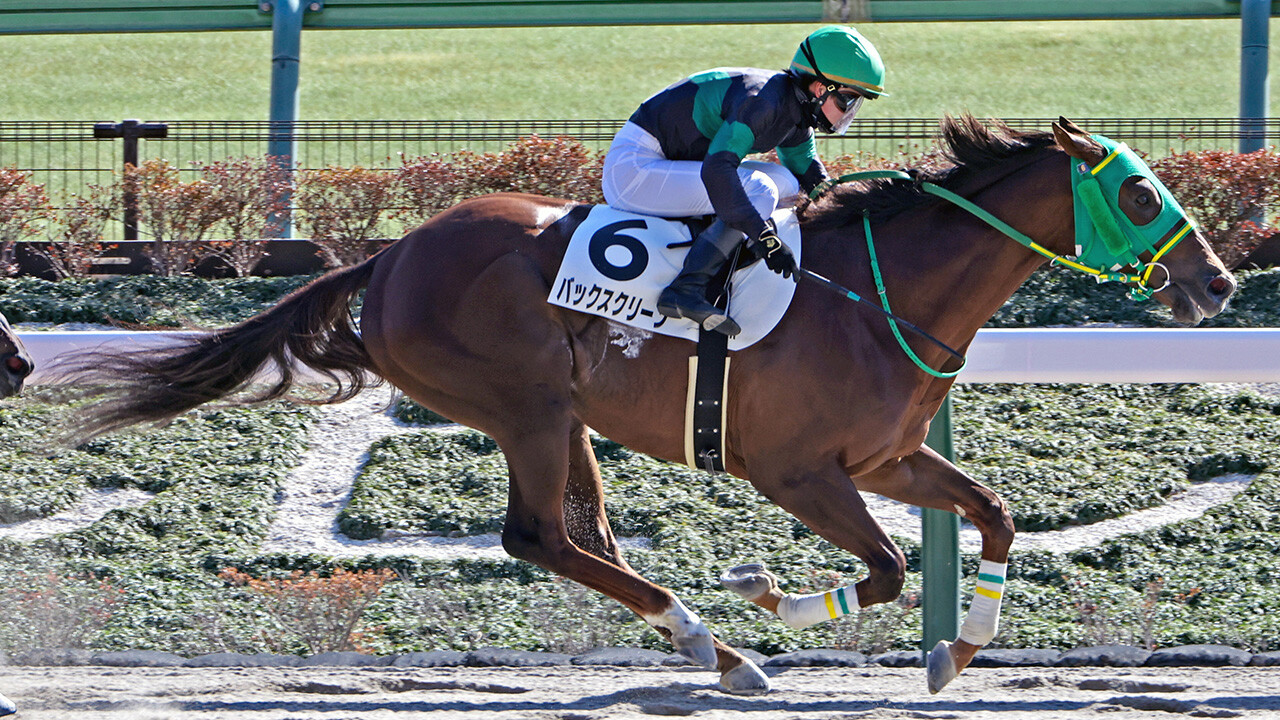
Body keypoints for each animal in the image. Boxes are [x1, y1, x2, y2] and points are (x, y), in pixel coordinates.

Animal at [55, 117, 1233, 691]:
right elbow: (891, 569)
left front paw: (961, 650)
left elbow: (992, 515)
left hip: (562, 419)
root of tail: (389, 255)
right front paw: (770, 599)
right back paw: (715, 640)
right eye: (1139, 195)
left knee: (582, 534)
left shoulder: (887, 457)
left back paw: (702, 644)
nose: (1217, 284)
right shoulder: (797, 472)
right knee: (538, 536)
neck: (874, 293)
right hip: (525, 407)